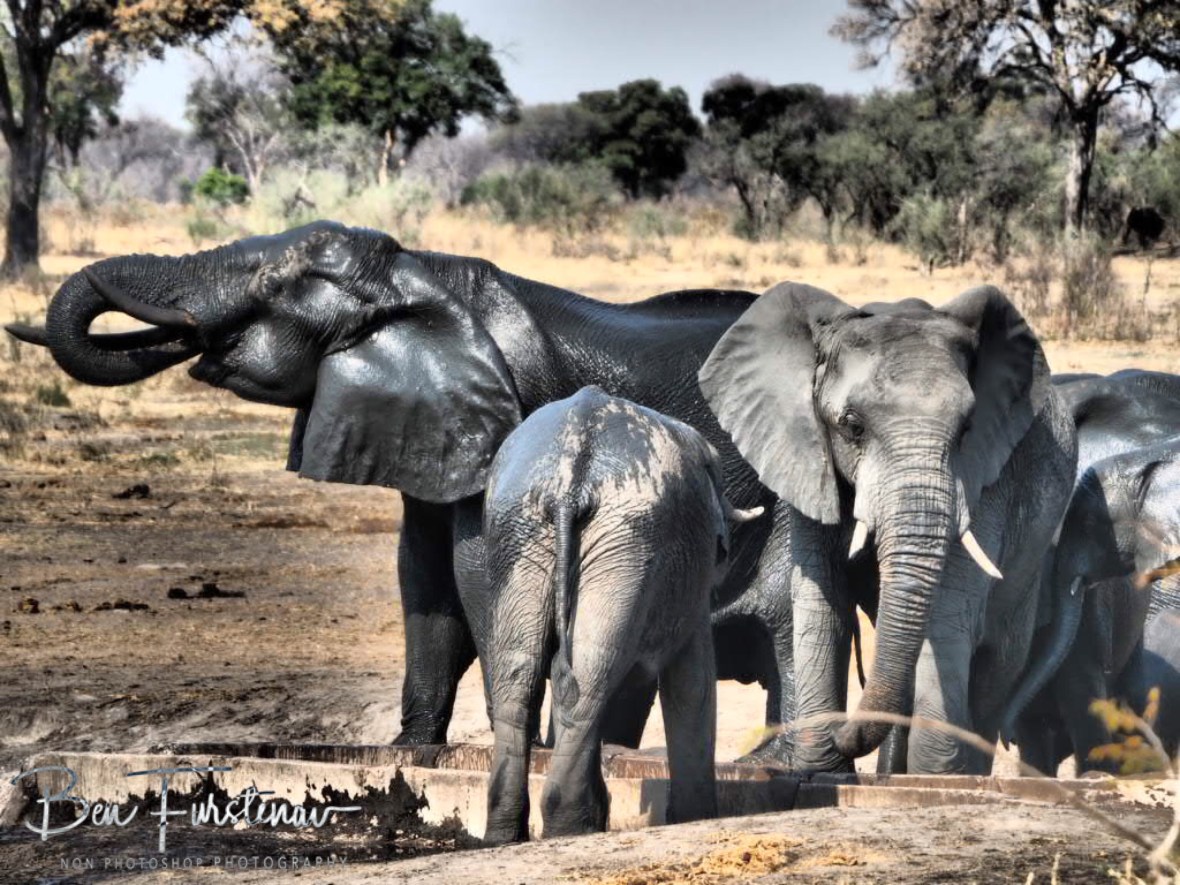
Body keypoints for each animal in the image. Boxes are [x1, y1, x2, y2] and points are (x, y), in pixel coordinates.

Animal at [482, 386, 762, 843]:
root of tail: (568, 482)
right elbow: (693, 682)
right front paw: (697, 818)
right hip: (626, 538)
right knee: (590, 674)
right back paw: (570, 827)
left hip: (521, 529)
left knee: (522, 675)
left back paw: (509, 835)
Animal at [697, 282, 1077, 774]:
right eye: (852, 427)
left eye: (967, 430)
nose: (846, 735)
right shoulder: (805, 457)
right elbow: (823, 603)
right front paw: (821, 770)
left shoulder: (987, 478)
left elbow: (946, 617)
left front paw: (934, 778)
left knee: (996, 663)